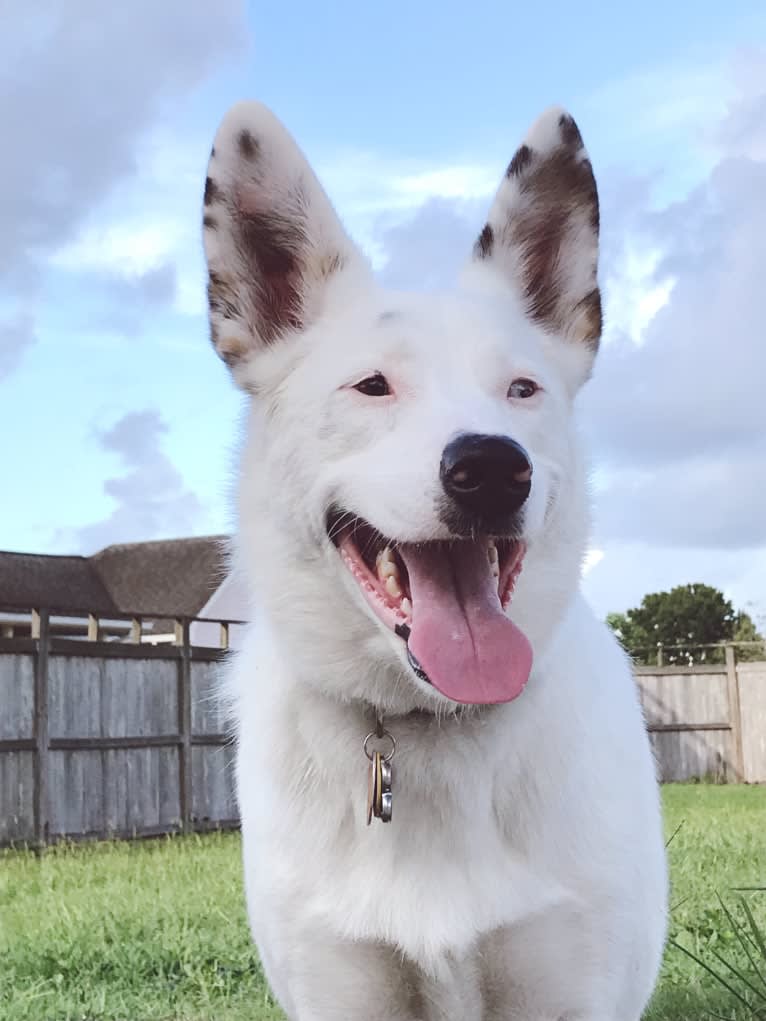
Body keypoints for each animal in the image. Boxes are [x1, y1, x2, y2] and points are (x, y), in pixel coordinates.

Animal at [201, 99, 669, 1016]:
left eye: (522, 389)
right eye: (372, 386)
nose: (490, 468)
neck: (426, 728)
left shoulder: (575, 990)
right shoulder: (339, 991)